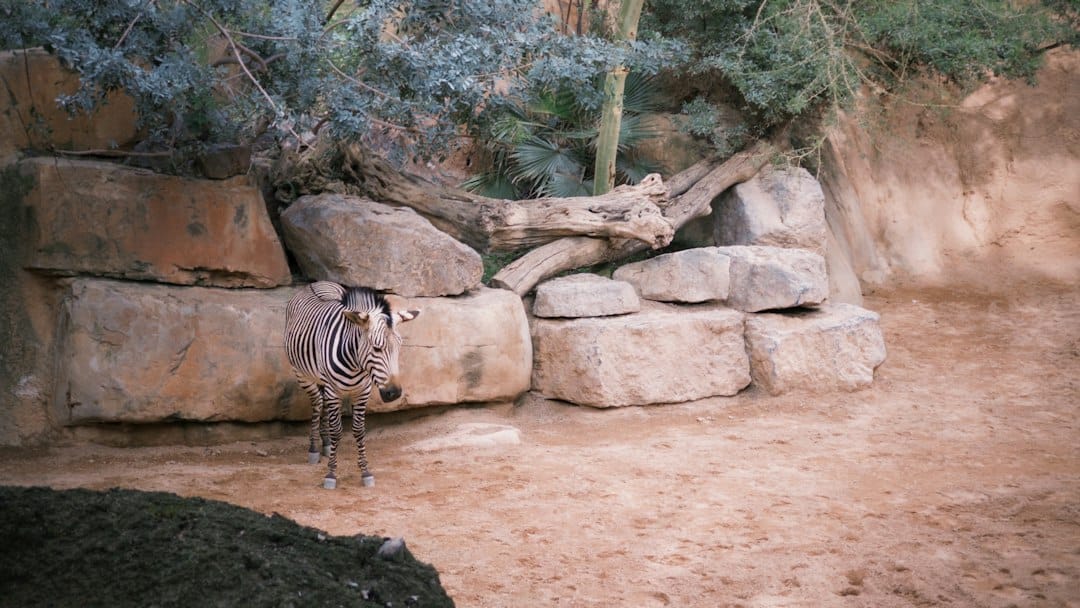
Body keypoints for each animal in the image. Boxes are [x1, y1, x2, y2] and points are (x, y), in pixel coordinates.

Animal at [284, 281, 420, 489]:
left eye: (399, 347)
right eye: (376, 348)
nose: (394, 393)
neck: (355, 362)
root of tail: (316, 283)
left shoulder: (362, 392)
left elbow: (358, 430)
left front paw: (365, 471)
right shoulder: (333, 390)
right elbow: (337, 430)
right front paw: (331, 474)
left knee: (323, 405)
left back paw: (326, 444)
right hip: (303, 375)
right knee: (317, 403)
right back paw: (314, 448)